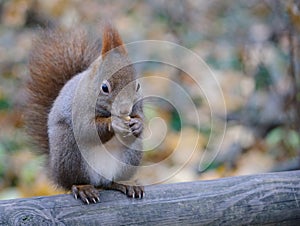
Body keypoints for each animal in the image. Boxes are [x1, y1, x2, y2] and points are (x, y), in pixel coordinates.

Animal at [24, 22, 144, 204]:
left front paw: (138, 124)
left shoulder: (138, 107)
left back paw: (125, 183)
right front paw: (114, 123)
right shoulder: (78, 109)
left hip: (130, 157)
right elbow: (86, 130)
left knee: (112, 182)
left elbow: (140, 118)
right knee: (74, 181)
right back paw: (83, 188)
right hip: (69, 150)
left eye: (137, 86)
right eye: (104, 88)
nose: (124, 110)